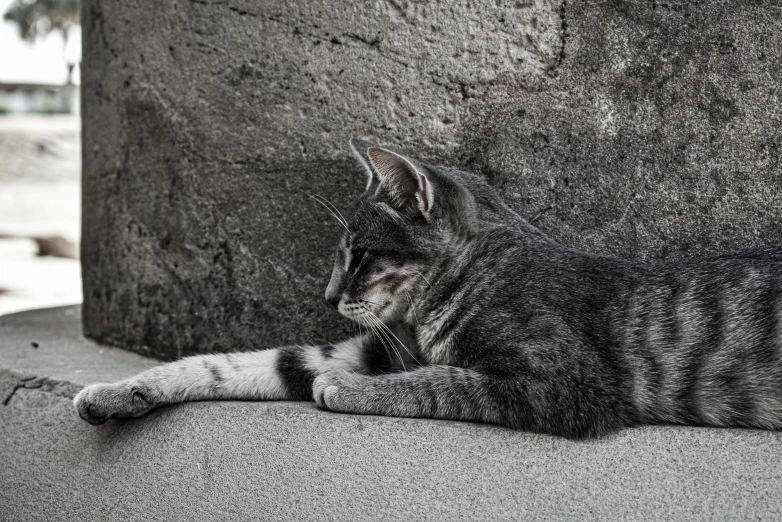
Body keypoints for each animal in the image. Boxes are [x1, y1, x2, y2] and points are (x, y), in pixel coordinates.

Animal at [73, 137, 782, 434]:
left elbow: (445, 381)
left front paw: (352, 391)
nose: (328, 297)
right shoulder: (374, 343)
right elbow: (238, 362)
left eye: (358, 256)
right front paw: (120, 390)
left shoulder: (568, 386)